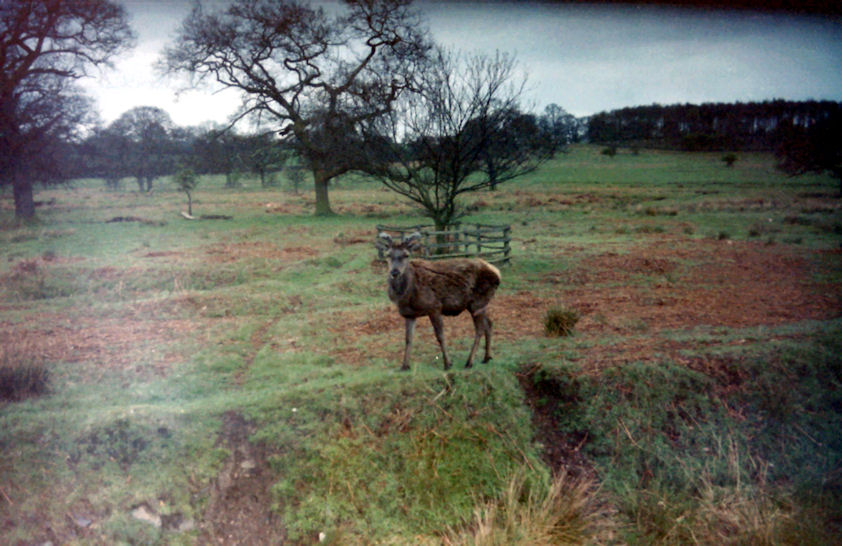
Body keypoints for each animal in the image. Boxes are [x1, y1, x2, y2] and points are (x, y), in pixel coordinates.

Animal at [376, 231, 501, 371]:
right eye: (388, 255)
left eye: (406, 255)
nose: (395, 272)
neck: (407, 295)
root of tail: (497, 273)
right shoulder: (409, 314)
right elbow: (408, 339)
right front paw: (404, 366)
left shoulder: (434, 307)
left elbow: (440, 336)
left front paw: (447, 364)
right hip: (479, 304)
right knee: (489, 323)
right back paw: (486, 358)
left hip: (477, 302)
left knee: (479, 329)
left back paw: (469, 362)